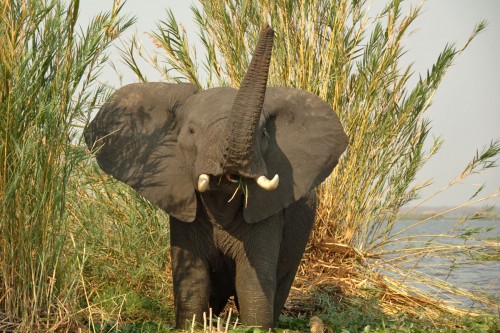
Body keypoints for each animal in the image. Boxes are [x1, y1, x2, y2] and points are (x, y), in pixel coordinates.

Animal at [84, 26, 348, 326]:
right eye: (191, 131)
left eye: (264, 134)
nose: (269, 28)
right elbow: (193, 278)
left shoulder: (268, 214)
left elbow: (252, 282)